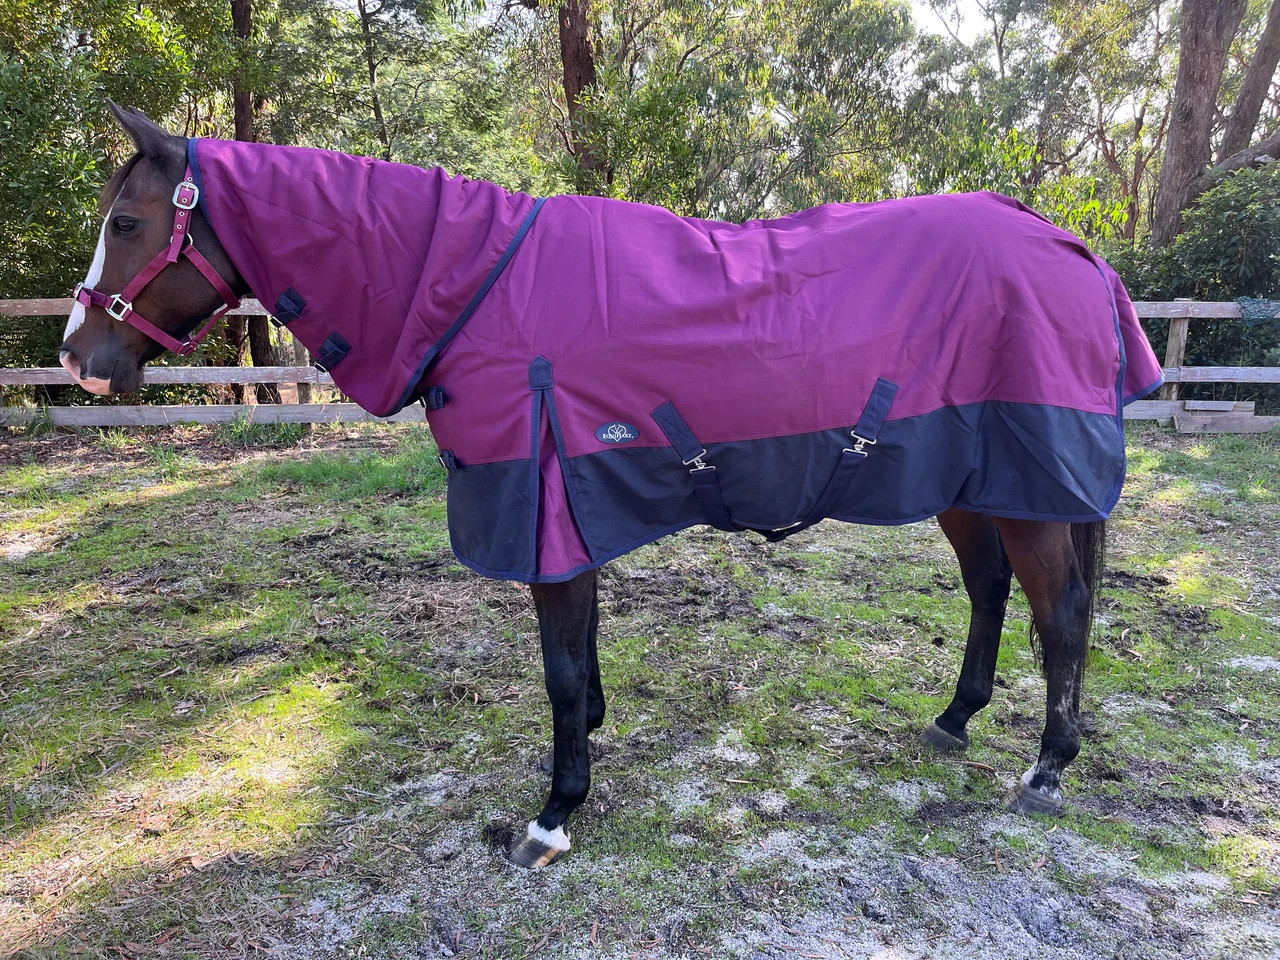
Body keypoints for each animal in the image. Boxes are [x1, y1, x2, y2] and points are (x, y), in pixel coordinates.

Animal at [59, 103, 1164, 869]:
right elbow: (580, 648)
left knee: (1061, 612)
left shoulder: (542, 502)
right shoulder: (567, 506)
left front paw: (554, 813)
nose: (77, 358)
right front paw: (587, 737)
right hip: (968, 478)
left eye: (127, 222)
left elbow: (555, 662)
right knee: (990, 591)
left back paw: (1045, 769)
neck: (470, 288)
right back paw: (953, 721)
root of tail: (1071, 247)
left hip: (1024, 483)